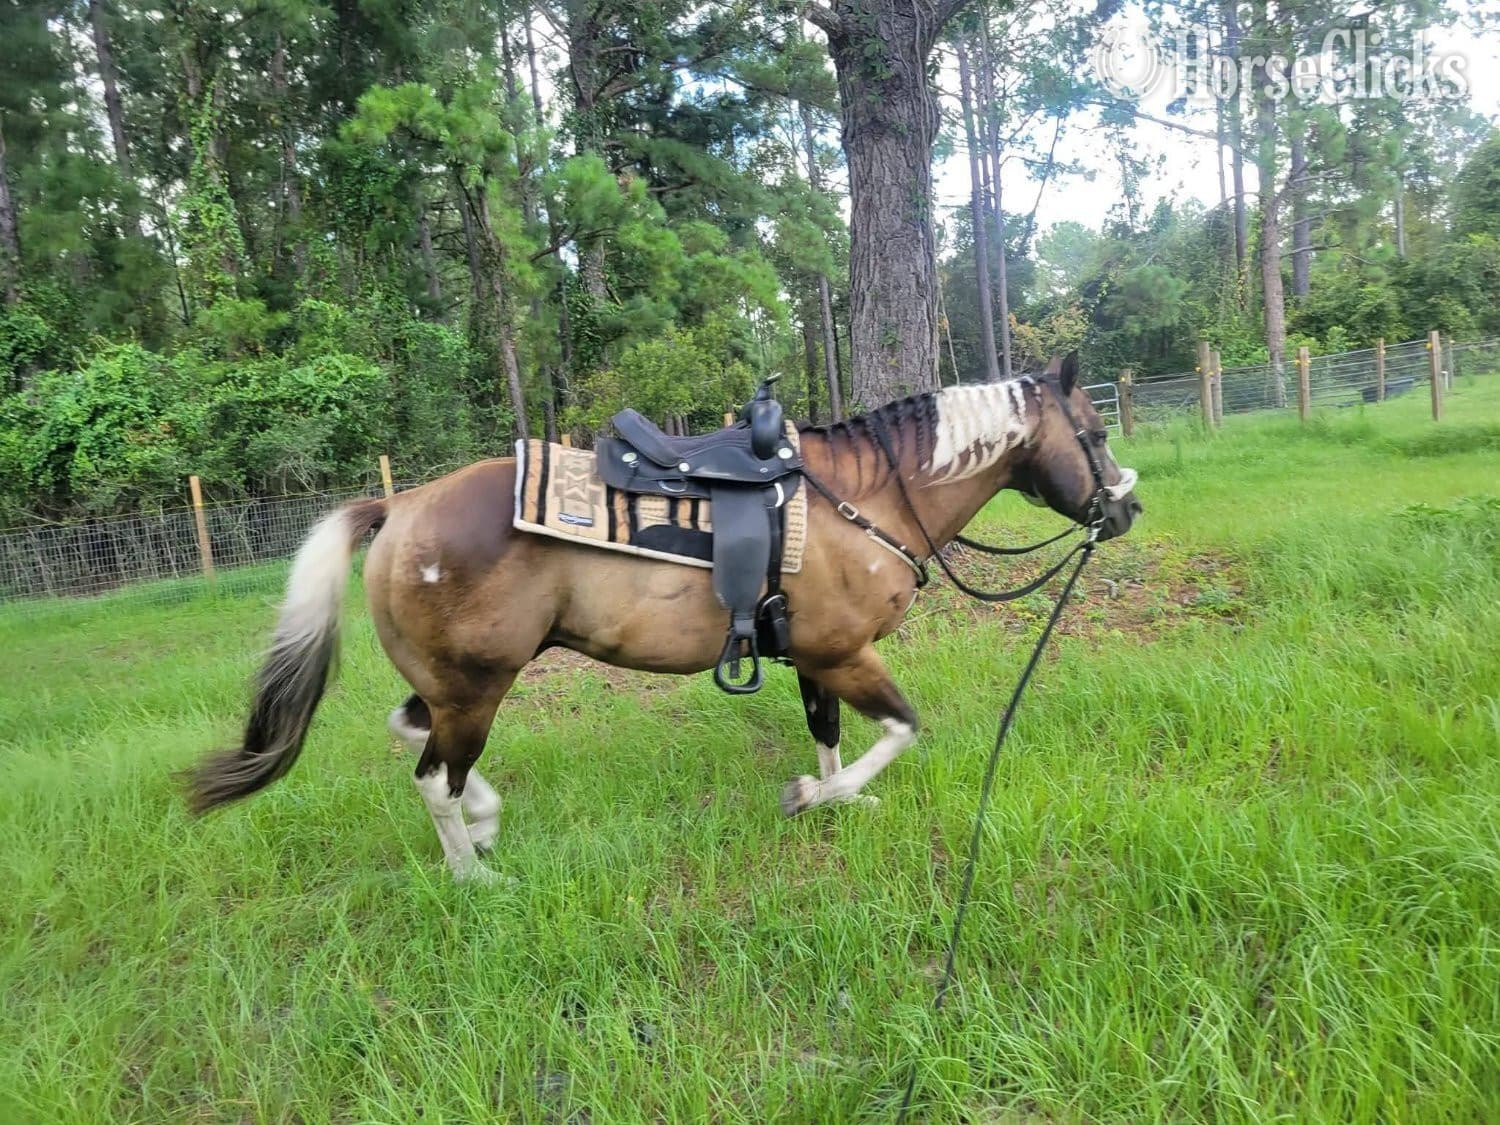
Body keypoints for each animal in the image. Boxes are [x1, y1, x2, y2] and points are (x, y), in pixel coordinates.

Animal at [186, 354, 1140, 882]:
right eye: (1093, 432)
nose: (1126, 507)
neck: (864, 498)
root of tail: (399, 504)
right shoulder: (844, 651)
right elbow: (901, 728)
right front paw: (811, 796)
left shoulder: (814, 658)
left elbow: (830, 734)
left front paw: (834, 799)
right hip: (477, 690)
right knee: (433, 779)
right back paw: (471, 875)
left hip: (456, 687)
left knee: (414, 734)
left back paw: (486, 823)